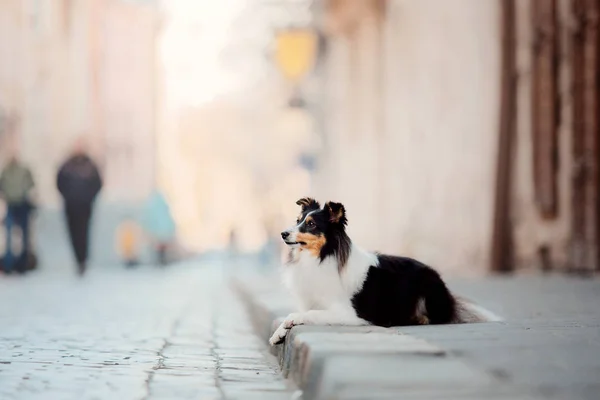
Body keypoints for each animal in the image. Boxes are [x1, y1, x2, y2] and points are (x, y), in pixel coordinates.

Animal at [270, 198, 494, 346]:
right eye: (298, 220)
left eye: (311, 224)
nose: (283, 233)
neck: (322, 257)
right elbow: (299, 312)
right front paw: (278, 333)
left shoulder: (349, 313)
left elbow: (308, 314)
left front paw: (291, 321)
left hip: (427, 289)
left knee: (437, 317)